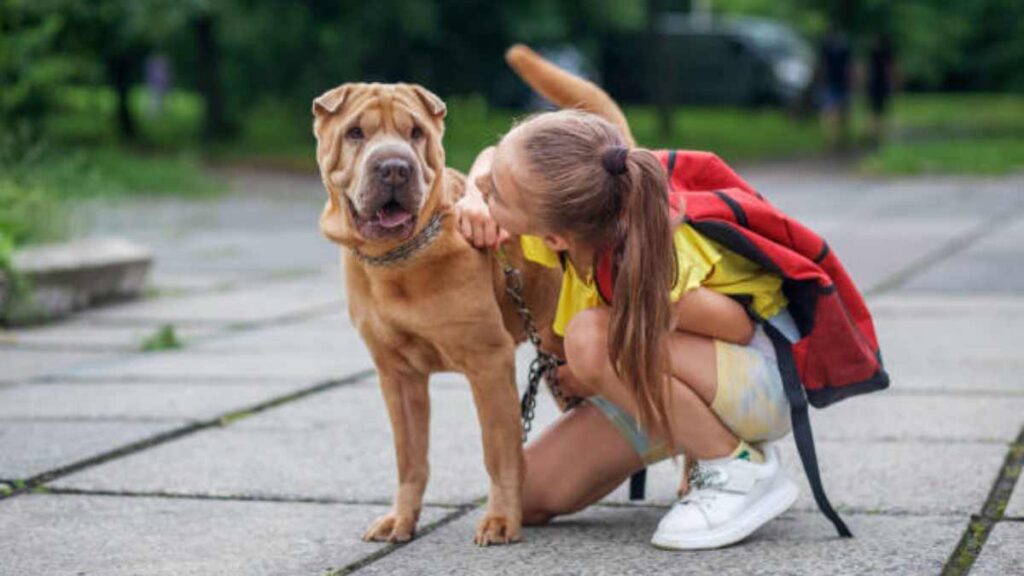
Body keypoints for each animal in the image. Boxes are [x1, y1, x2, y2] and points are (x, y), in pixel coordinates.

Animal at [315, 80, 565, 541]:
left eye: (416, 132)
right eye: (355, 132)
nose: (394, 168)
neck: (397, 261)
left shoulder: (488, 362)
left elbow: (499, 451)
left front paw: (501, 519)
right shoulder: (397, 376)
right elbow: (410, 457)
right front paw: (401, 519)